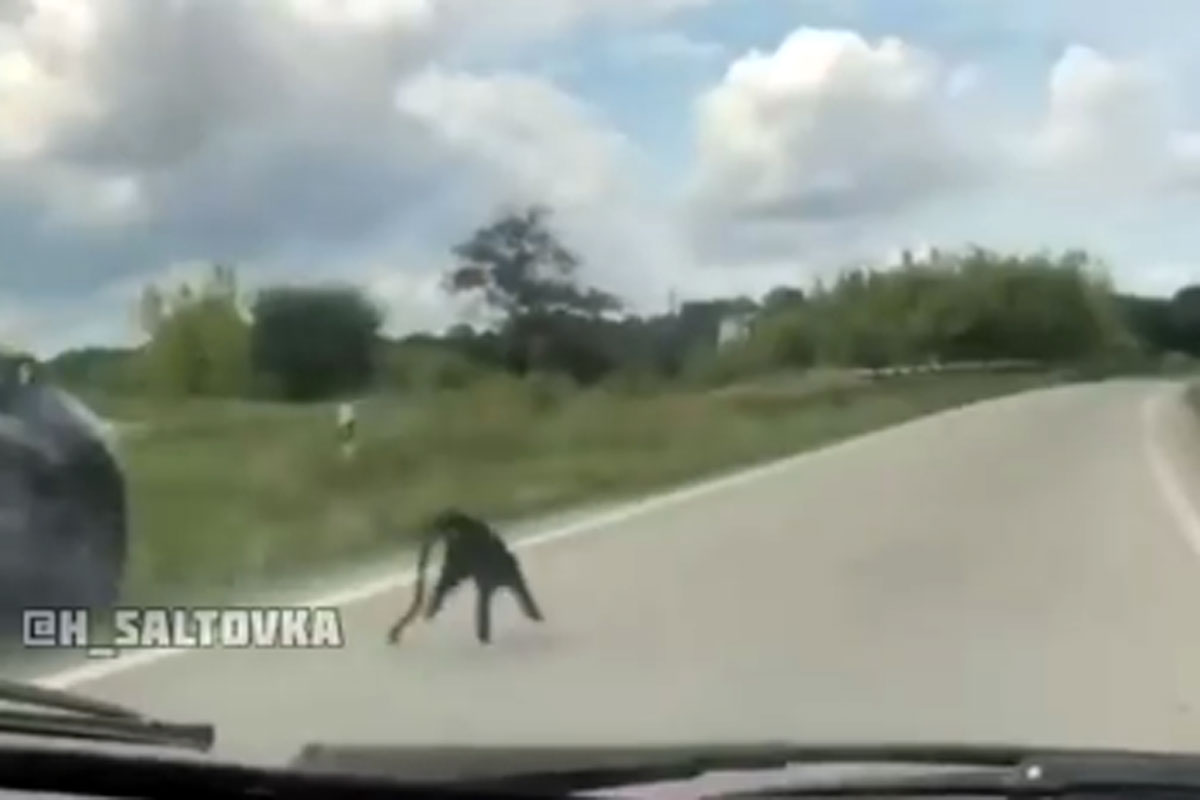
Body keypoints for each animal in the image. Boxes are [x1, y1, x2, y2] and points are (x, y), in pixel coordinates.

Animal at [388, 510, 544, 647]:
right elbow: (483, 609)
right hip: (460, 564)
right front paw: (484, 636)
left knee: (446, 584)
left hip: (461, 564)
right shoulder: (485, 580)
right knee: (445, 585)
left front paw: (536, 616)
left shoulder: (509, 578)